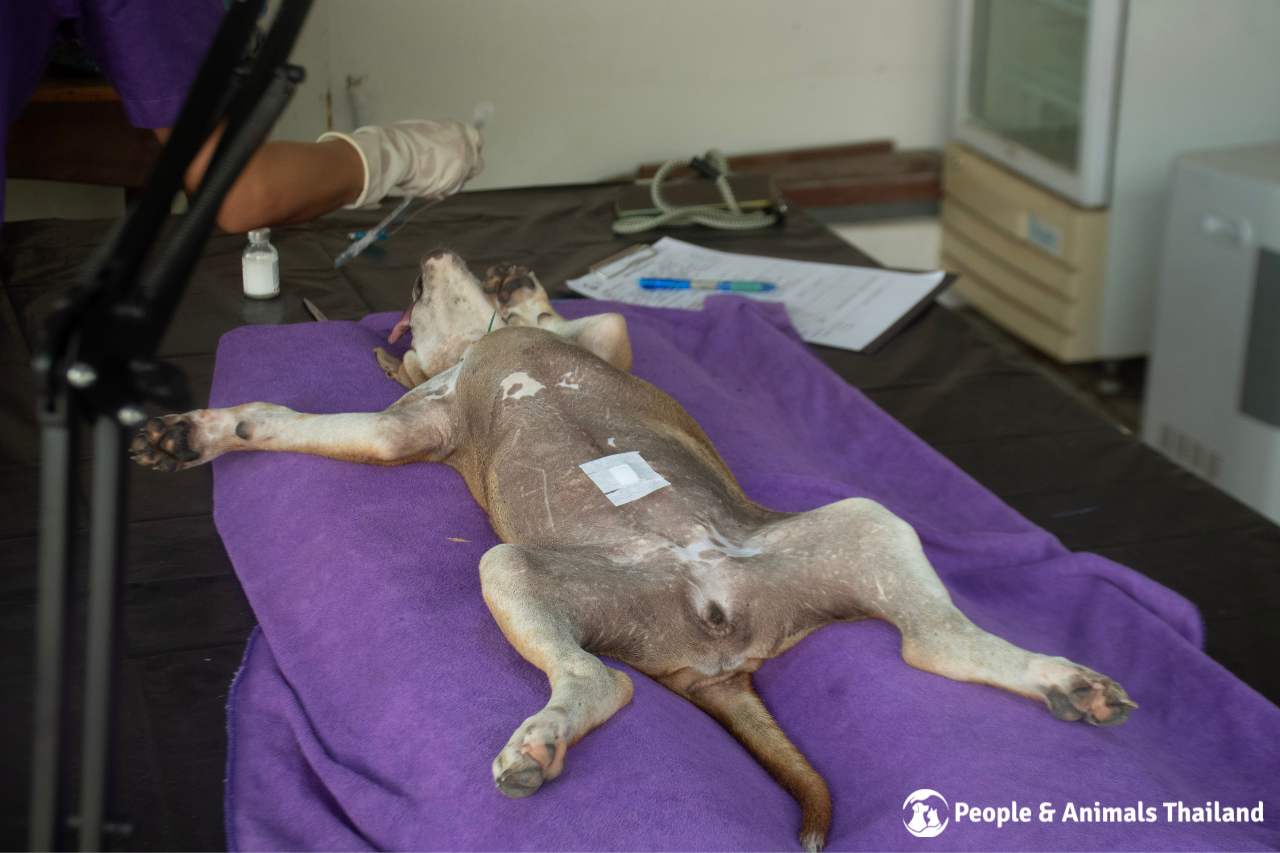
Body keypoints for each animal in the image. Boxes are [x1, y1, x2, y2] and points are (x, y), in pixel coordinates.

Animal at [129, 249, 1136, 845]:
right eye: (411, 302)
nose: (430, 256)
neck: (485, 348)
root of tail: (722, 652)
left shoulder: (587, 344)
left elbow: (590, 323)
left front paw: (528, 294)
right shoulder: (404, 428)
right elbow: (270, 415)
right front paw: (193, 433)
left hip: (862, 522)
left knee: (935, 639)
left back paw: (1063, 680)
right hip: (525, 570)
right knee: (598, 679)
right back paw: (543, 737)